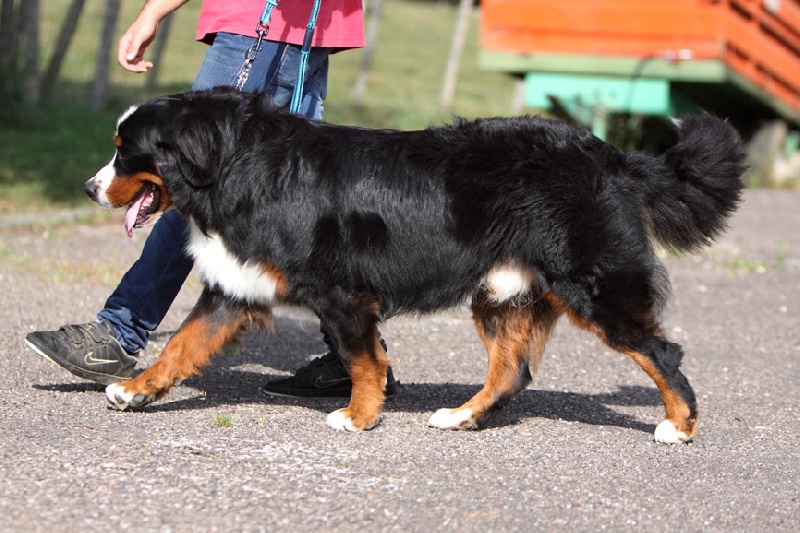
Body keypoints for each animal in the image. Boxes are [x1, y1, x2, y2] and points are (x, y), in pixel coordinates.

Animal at [84, 89, 748, 442]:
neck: (236, 165)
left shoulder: (343, 293)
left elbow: (364, 361)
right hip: (502, 291)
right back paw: (461, 416)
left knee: (661, 353)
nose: (90, 188)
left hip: (593, 286)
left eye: (124, 153)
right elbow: (181, 346)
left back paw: (680, 425)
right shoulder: (235, 287)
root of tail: (609, 155)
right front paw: (136, 390)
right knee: (512, 371)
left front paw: (358, 417)